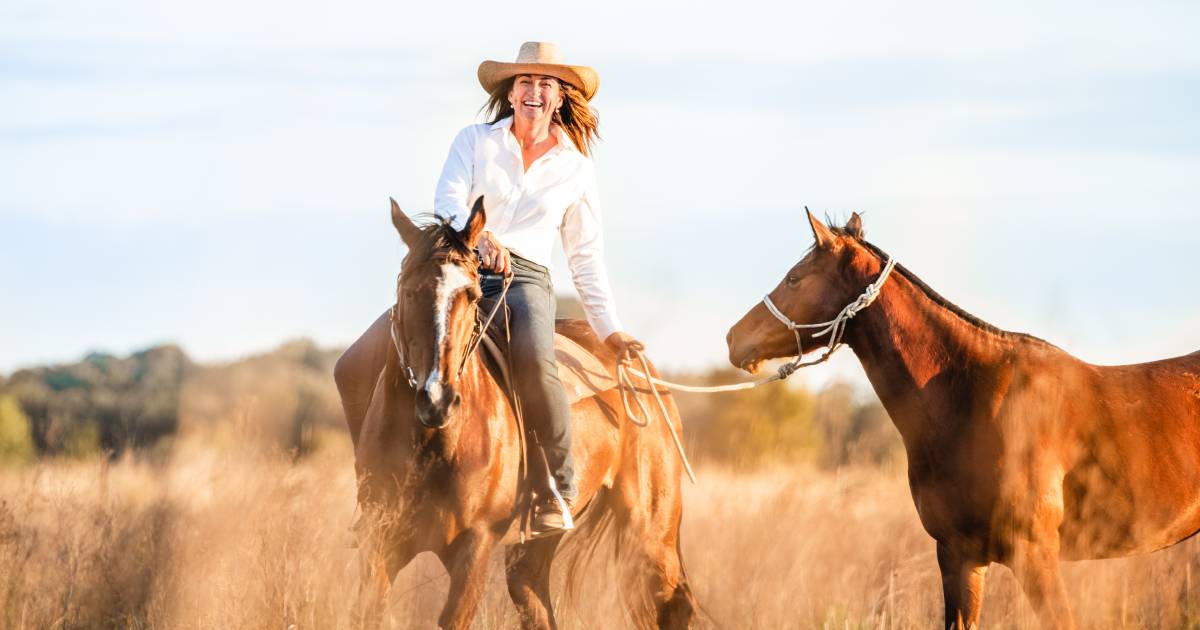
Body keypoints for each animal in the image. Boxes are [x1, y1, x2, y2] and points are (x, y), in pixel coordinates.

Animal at [333, 200, 700, 628]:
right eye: (408, 291)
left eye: (472, 295)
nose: (437, 398)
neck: (433, 442)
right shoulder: (380, 544)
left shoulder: (474, 545)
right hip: (535, 550)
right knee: (536, 598)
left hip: (650, 531)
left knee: (672, 602)